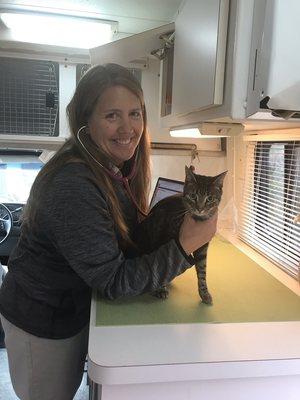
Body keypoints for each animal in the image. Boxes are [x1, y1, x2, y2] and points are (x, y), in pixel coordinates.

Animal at [132, 165, 226, 304]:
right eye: (193, 196)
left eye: (209, 198)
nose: (200, 209)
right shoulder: (161, 235)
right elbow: (161, 266)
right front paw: (161, 289)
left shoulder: (202, 247)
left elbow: (202, 269)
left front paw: (204, 293)